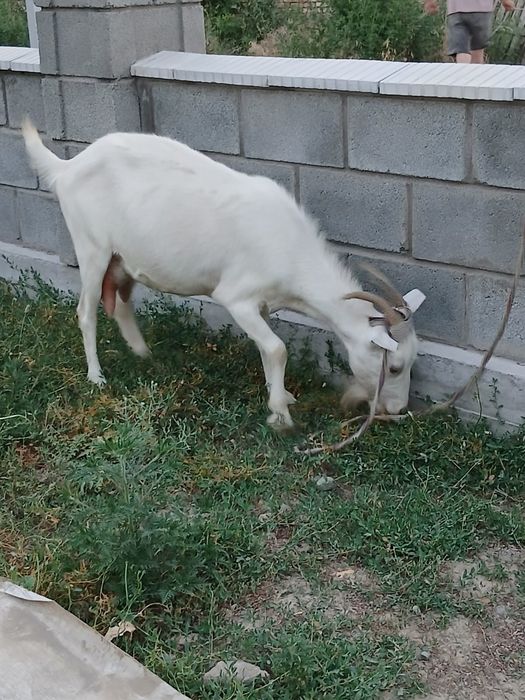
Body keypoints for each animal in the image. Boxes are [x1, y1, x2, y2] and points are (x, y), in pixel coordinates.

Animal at [22, 120, 425, 430]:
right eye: (394, 368)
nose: (398, 409)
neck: (291, 248)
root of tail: (66, 168)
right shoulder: (237, 297)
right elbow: (277, 349)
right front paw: (280, 415)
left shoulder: (262, 305)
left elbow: (266, 349)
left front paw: (281, 396)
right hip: (91, 247)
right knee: (86, 311)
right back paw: (96, 376)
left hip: (122, 259)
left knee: (120, 303)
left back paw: (143, 353)